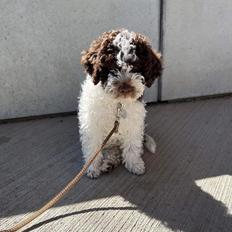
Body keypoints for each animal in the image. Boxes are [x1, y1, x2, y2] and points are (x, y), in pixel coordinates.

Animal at [78, 29, 161, 178]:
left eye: (135, 66)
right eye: (111, 65)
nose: (125, 86)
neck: (118, 103)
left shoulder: (134, 123)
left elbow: (132, 145)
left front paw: (134, 164)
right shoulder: (91, 124)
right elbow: (93, 146)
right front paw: (93, 167)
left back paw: (110, 162)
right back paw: (107, 163)